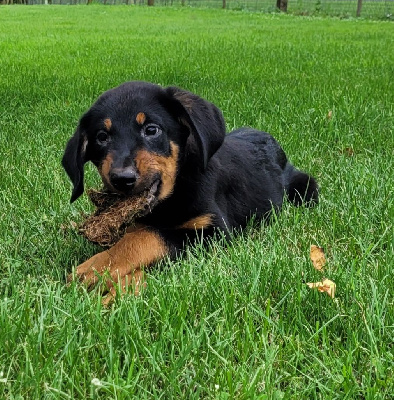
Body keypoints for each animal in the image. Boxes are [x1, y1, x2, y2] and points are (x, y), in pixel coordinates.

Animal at [62, 81, 320, 298]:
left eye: (151, 130)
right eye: (101, 137)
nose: (122, 179)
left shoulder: (214, 233)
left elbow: (148, 237)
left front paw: (99, 269)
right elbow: (139, 234)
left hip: (305, 188)